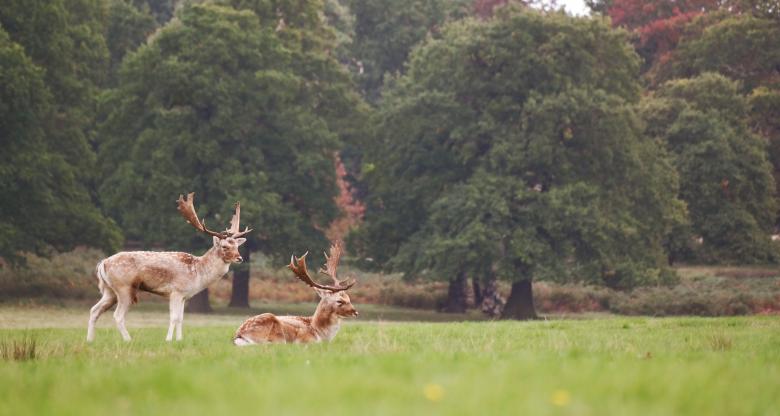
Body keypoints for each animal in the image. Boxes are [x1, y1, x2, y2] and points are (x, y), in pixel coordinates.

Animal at [87, 192, 251, 342]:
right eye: (224, 246)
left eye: (237, 246)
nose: (240, 258)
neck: (197, 273)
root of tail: (103, 263)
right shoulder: (176, 291)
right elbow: (174, 317)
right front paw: (168, 340)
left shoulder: (184, 295)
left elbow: (181, 318)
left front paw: (179, 340)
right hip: (124, 287)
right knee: (118, 315)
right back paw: (128, 340)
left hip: (109, 291)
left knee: (94, 310)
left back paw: (90, 340)